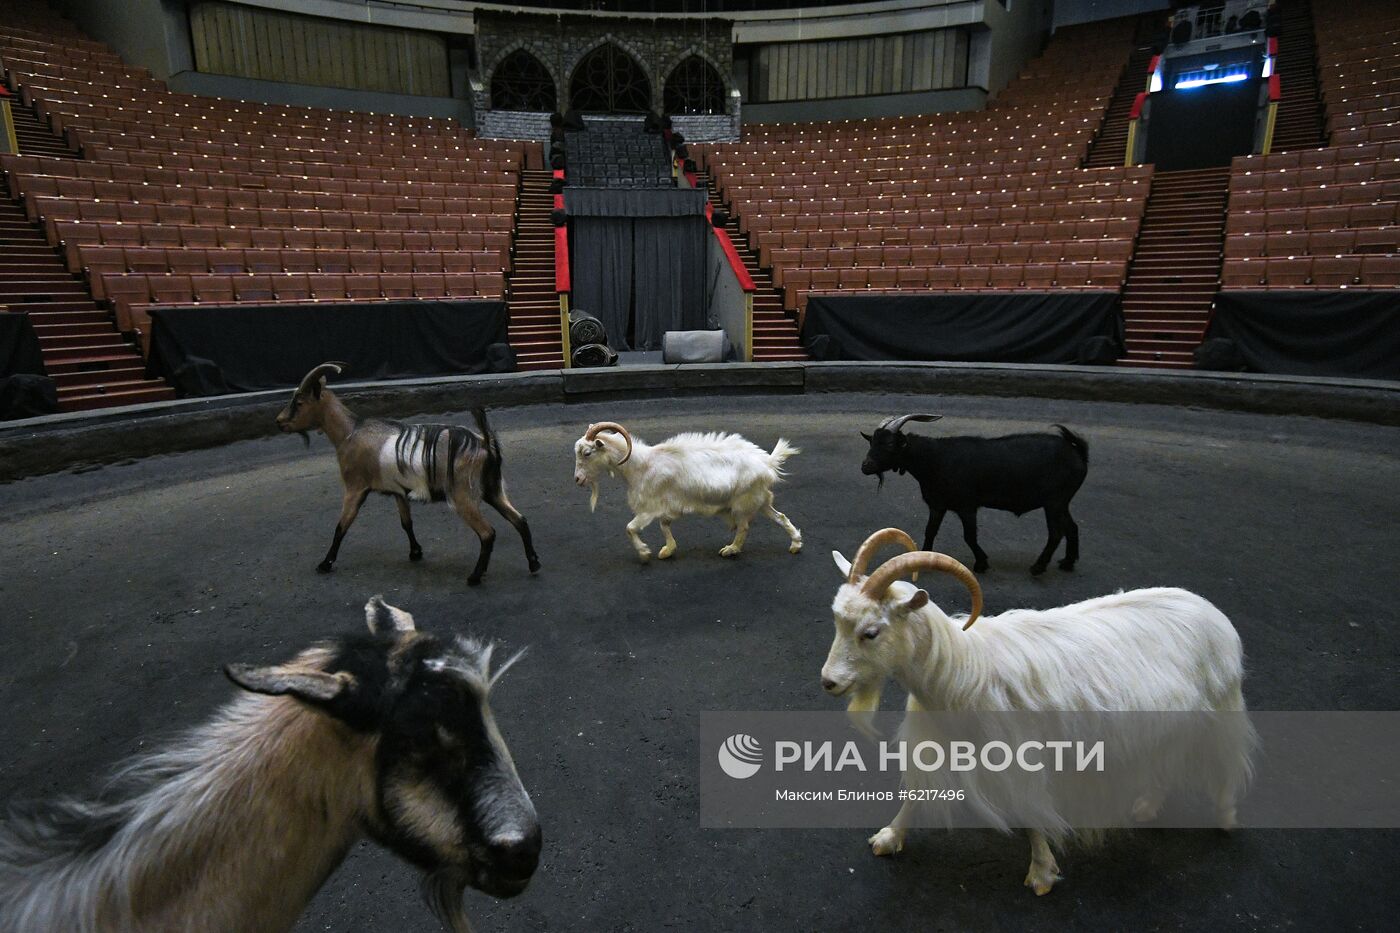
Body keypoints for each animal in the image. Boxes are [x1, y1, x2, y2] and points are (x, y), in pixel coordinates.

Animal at [571, 420, 812, 560]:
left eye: (587, 453)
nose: (578, 479)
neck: (641, 465)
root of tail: (767, 462)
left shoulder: (649, 508)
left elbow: (630, 528)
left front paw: (645, 552)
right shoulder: (666, 507)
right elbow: (665, 525)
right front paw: (668, 550)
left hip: (743, 502)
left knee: (744, 527)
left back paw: (730, 549)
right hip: (760, 500)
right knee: (780, 517)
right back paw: (795, 544)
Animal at [817, 526, 1260, 890]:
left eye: (871, 632)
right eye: (838, 622)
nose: (829, 682)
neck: (963, 671)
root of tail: (1211, 611)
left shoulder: (1020, 755)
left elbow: (1030, 810)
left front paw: (1042, 872)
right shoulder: (937, 742)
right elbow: (915, 793)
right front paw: (890, 837)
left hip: (1218, 711)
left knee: (1226, 761)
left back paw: (1225, 816)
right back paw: (1149, 806)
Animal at [856, 414, 1086, 574]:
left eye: (888, 444)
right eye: (872, 442)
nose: (865, 466)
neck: (934, 459)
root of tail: (1077, 452)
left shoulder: (967, 506)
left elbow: (969, 535)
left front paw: (982, 563)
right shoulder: (938, 505)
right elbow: (930, 531)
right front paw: (923, 557)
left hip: (1054, 502)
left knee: (1056, 533)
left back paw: (1038, 567)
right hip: (1062, 501)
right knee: (1072, 527)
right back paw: (1067, 562)